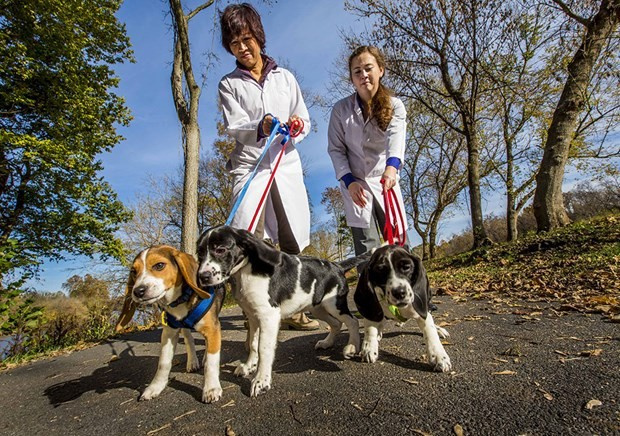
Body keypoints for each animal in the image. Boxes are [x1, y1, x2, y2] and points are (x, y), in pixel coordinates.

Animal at [115, 247, 225, 404]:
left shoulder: (213, 329)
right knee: (188, 338)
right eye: (134, 272)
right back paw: (192, 362)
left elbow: (211, 361)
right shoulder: (169, 333)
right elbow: (163, 363)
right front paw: (155, 387)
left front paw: (211, 388)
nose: (138, 291)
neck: (179, 300)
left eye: (159, 265)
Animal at [195, 227, 368, 396]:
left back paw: (352, 347)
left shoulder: (268, 316)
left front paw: (261, 381)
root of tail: (337, 266)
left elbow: (263, 348)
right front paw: (249, 366)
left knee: (352, 321)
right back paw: (327, 343)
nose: (202, 277)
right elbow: (253, 343)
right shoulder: (253, 316)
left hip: (334, 305)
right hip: (318, 308)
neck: (246, 270)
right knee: (336, 324)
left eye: (220, 250)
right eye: (200, 254)